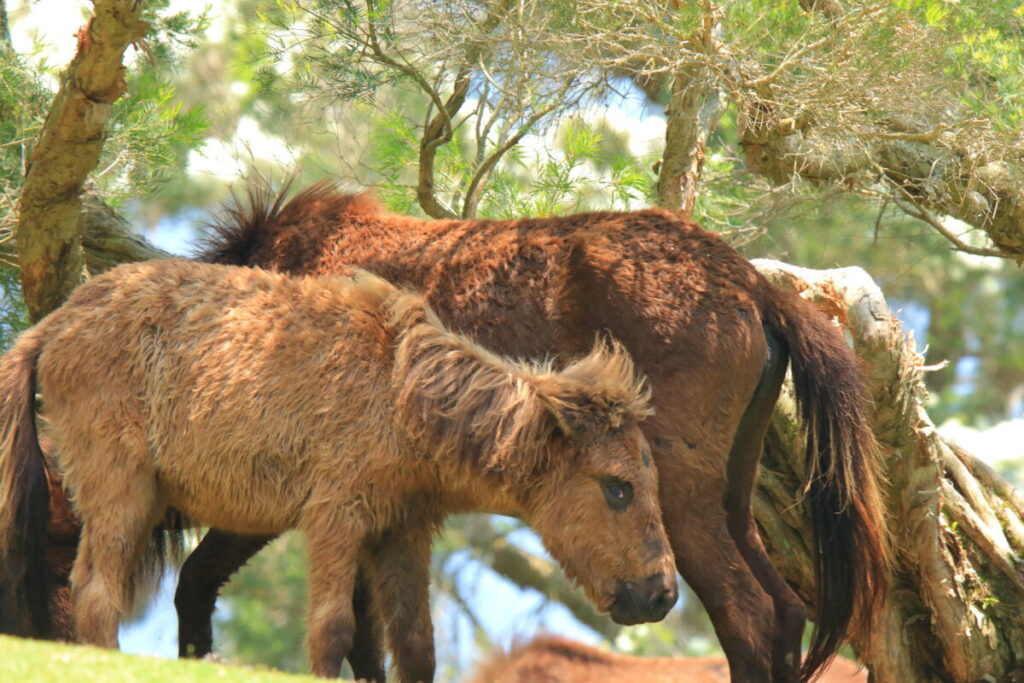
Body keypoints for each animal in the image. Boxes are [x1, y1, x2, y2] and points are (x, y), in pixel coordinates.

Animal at [0, 259, 678, 679]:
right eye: (618, 489)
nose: (662, 593)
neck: (401, 396)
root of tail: (53, 326)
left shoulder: (401, 533)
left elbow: (414, 646)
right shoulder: (335, 519)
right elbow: (332, 631)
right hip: (122, 492)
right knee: (95, 595)